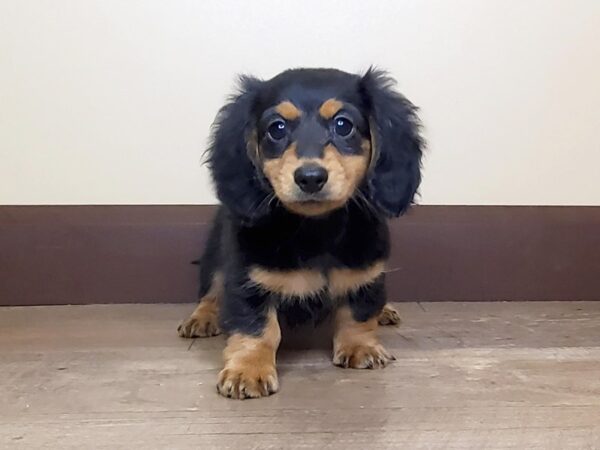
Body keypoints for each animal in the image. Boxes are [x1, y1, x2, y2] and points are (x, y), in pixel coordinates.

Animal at [177, 66, 422, 398]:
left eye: (343, 125)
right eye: (277, 128)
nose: (310, 178)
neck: (315, 231)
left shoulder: (366, 275)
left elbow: (357, 314)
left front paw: (361, 347)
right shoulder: (246, 281)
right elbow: (257, 327)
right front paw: (248, 370)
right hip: (216, 255)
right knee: (211, 291)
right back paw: (202, 318)